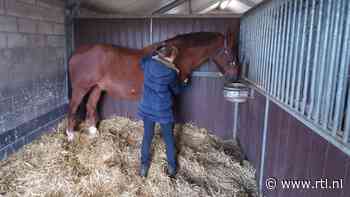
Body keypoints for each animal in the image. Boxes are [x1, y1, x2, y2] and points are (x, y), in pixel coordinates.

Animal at [67, 30, 239, 140]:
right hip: (81, 88)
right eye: (230, 52)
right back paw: (70, 135)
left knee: (90, 106)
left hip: (97, 88)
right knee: (73, 108)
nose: (235, 75)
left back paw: (93, 132)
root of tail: (76, 53)